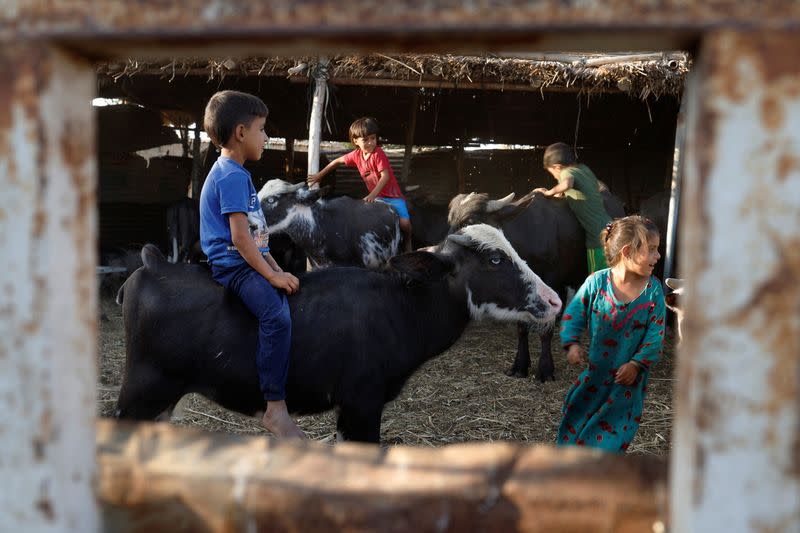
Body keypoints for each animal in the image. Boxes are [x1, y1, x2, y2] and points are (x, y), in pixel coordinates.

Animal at [114, 222, 564, 442]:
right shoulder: (362, 403)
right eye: (494, 259)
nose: (555, 299)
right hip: (142, 391)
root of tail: (154, 264)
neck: (399, 307)